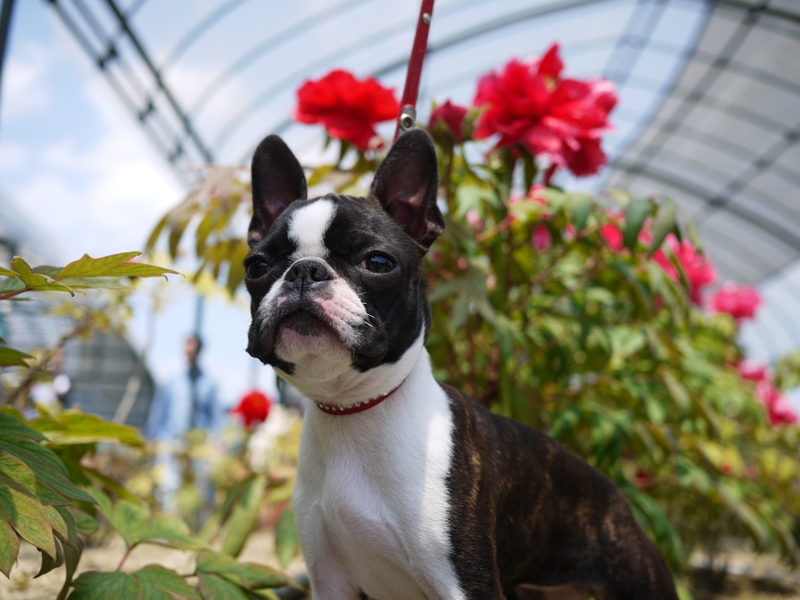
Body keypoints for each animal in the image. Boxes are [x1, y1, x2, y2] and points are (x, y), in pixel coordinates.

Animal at [245, 127, 680, 600]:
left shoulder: (464, 581)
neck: (353, 409)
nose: (304, 271)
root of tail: (620, 498)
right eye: (257, 266)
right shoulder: (330, 580)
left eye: (377, 262)